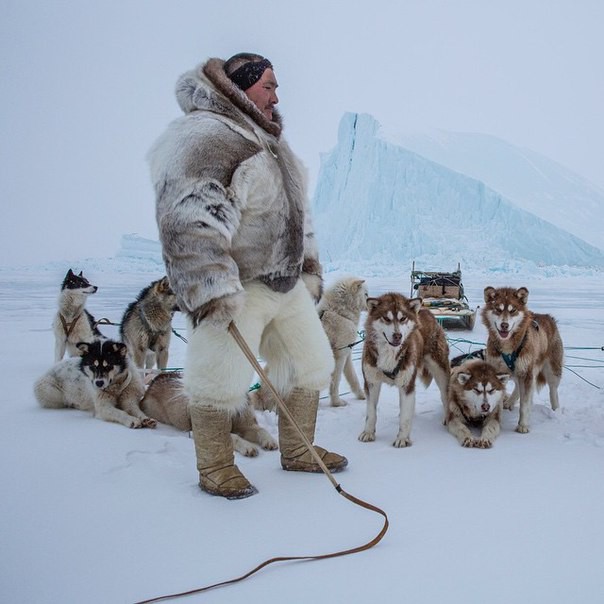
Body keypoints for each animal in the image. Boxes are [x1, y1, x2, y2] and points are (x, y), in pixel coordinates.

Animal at [142, 370, 276, 456]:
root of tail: (157, 378)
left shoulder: (247, 425)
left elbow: (261, 430)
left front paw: (269, 441)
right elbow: (235, 437)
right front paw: (247, 447)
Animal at [316, 276, 368, 408]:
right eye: (366, 294)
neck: (340, 313)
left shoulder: (347, 353)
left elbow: (353, 377)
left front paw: (361, 395)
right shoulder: (340, 355)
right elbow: (336, 380)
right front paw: (336, 402)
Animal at [358, 294, 448, 448]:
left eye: (403, 318)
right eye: (386, 318)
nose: (397, 335)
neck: (389, 354)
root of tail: (426, 312)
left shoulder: (407, 385)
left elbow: (405, 418)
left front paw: (403, 438)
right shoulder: (371, 383)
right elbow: (371, 412)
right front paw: (368, 432)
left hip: (440, 371)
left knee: (445, 396)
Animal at [482, 288, 560, 434]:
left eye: (513, 310)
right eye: (498, 309)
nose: (504, 325)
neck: (508, 347)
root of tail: (548, 317)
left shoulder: (527, 373)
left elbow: (525, 404)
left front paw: (523, 425)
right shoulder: (498, 370)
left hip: (551, 369)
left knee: (553, 389)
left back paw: (556, 411)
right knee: (518, 386)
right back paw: (509, 402)